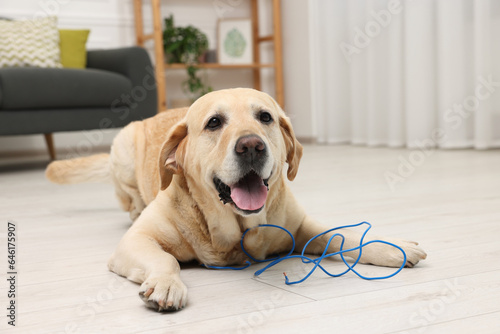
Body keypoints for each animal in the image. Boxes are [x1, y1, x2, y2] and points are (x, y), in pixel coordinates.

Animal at [46, 88, 426, 310]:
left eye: (265, 117)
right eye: (214, 122)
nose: (251, 146)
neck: (237, 227)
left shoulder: (300, 225)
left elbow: (341, 233)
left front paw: (389, 247)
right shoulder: (137, 240)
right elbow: (164, 260)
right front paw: (167, 284)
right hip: (123, 149)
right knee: (129, 203)